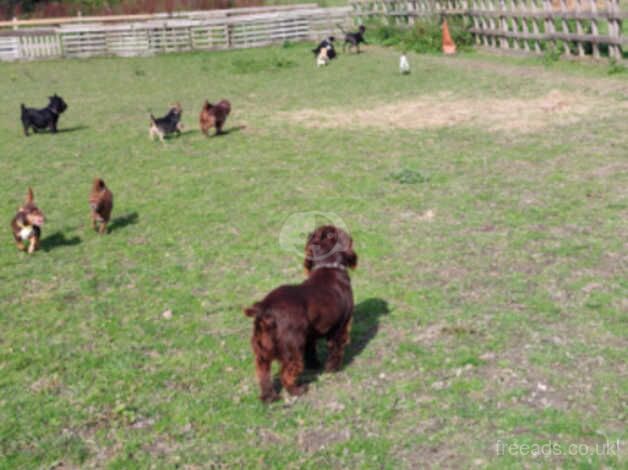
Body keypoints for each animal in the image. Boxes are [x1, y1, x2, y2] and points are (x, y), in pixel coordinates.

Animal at [244, 226, 358, 402]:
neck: (328, 267)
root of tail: (264, 307)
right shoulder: (341, 326)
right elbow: (336, 351)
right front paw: (333, 369)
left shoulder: (310, 334)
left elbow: (311, 352)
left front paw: (315, 365)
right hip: (292, 348)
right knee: (286, 374)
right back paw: (297, 391)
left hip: (262, 350)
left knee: (263, 373)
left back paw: (269, 397)